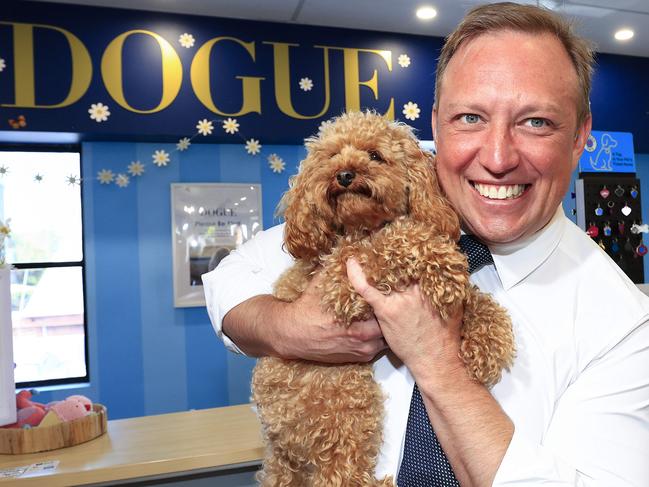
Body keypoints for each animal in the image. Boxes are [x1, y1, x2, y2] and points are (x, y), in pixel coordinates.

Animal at [251, 111, 512, 487]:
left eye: (375, 155)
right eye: (332, 156)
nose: (344, 175)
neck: (360, 225)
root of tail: (282, 455)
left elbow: (473, 299)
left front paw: (488, 343)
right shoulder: (341, 279)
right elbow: (395, 239)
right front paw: (443, 263)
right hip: (345, 405)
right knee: (341, 474)